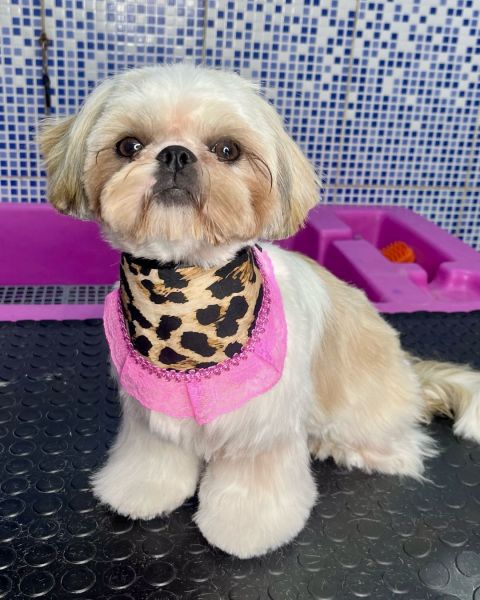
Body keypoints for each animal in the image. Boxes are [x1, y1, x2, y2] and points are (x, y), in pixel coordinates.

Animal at [39, 64, 480, 559]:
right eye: (128, 146)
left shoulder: (263, 427)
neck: (183, 297)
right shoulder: (149, 414)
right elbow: (155, 457)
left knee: (403, 449)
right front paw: (141, 490)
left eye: (227, 150)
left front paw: (244, 527)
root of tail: (414, 380)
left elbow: (252, 485)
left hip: (363, 413)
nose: (175, 155)